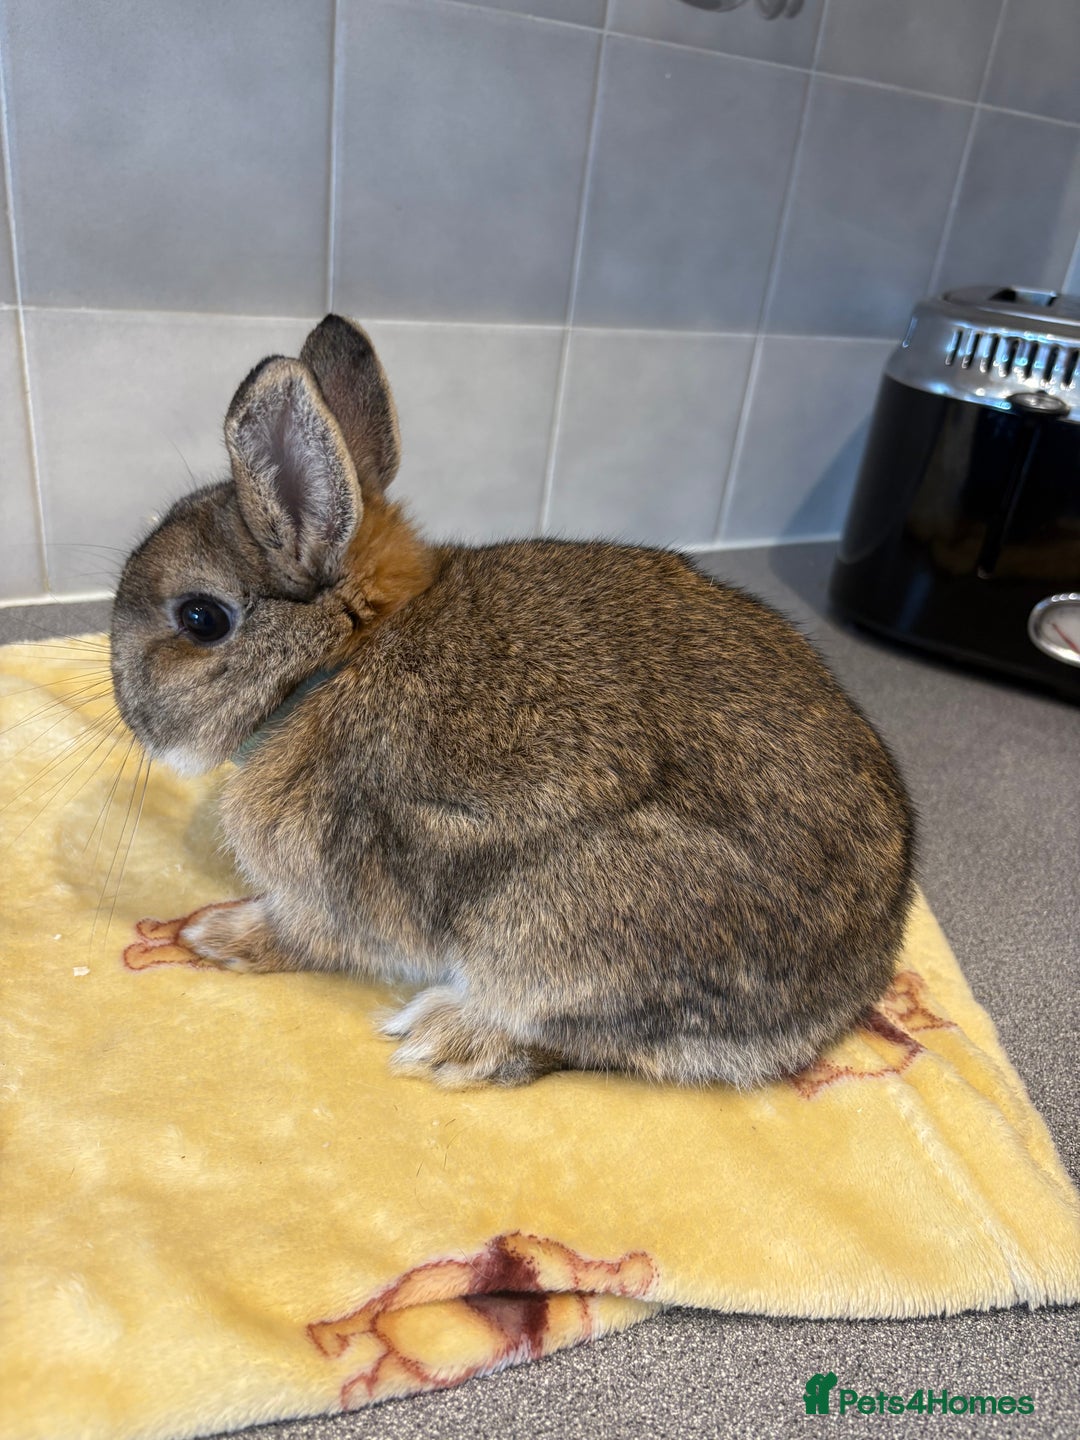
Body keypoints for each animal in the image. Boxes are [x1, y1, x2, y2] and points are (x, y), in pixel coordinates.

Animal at [110, 315, 915, 1089]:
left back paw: (446, 1040)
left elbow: (301, 935)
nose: (126, 708)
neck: (334, 667)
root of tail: (836, 1004)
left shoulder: (331, 894)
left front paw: (213, 936)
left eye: (200, 619)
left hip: (554, 929)